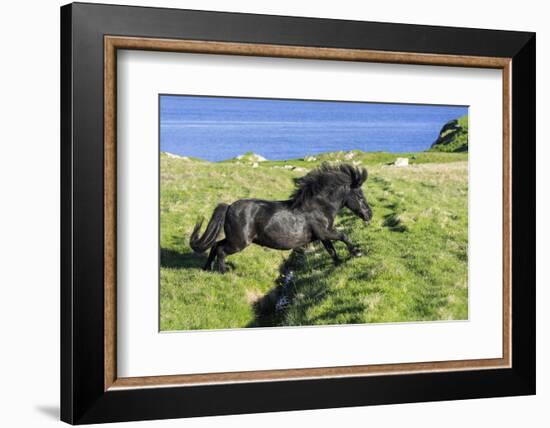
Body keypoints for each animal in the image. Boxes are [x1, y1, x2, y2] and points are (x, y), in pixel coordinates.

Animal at [191, 162, 376, 272]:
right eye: (360, 195)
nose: (369, 215)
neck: (318, 207)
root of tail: (229, 207)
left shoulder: (322, 236)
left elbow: (331, 250)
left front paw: (338, 264)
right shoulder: (325, 232)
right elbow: (343, 236)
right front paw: (357, 253)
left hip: (234, 239)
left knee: (215, 245)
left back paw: (207, 268)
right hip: (239, 242)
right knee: (221, 250)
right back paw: (224, 272)